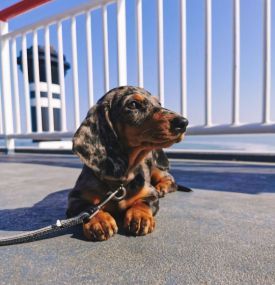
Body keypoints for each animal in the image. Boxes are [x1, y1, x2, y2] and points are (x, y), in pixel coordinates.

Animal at [66, 85, 189, 240]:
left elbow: (143, 202)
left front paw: (140, 216)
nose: (183, 123)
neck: (119, 183)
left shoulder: (151, 193)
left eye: (159, 103)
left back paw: (162, 187)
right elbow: (87, 208)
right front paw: (99, 220)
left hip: (157, 169)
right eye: (133, 104)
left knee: (171, 181)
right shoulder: (74, 198)